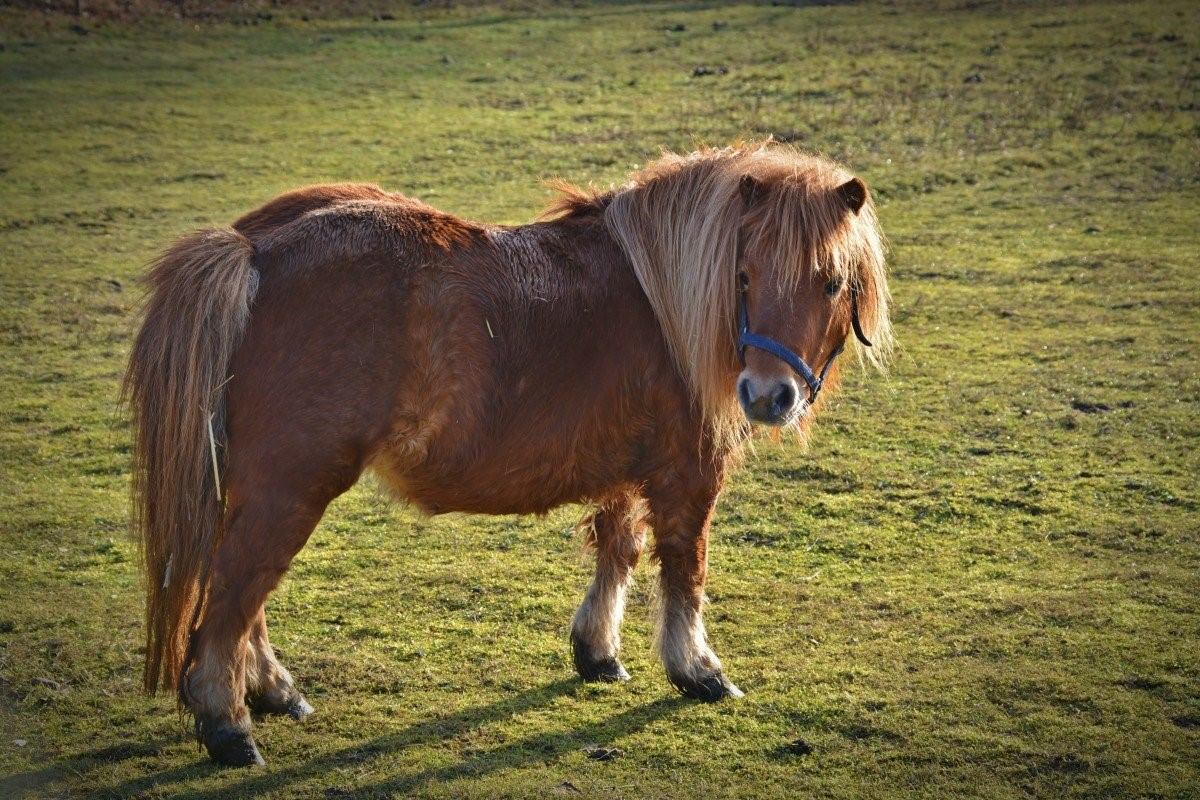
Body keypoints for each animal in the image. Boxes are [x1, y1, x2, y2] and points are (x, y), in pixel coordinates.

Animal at [124, 140, 892, 767]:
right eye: (746, 276)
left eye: (830, 282)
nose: (769, 396)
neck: (664, 302)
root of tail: (251, 249)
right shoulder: (687, 472)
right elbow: (683, 568)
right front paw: (696, 670)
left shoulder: (626, 466)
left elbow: (617, 546)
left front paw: (598, 652)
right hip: (291, 486)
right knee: (234, 593)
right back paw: (228, 725)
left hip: (261, 487)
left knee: (241, 592)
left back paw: (274, 692)